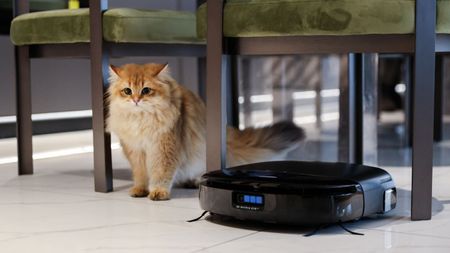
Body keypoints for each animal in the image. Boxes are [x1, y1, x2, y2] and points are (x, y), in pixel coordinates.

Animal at [107, 62, 304, 200]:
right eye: (127, 91)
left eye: (146, 90)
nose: (136, 100)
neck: (141, 120)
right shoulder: (135, 151)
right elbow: (140, 174)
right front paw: (140, 189)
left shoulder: (164, 148)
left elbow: (161, 172)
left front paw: (158, 192)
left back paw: (194, 182)